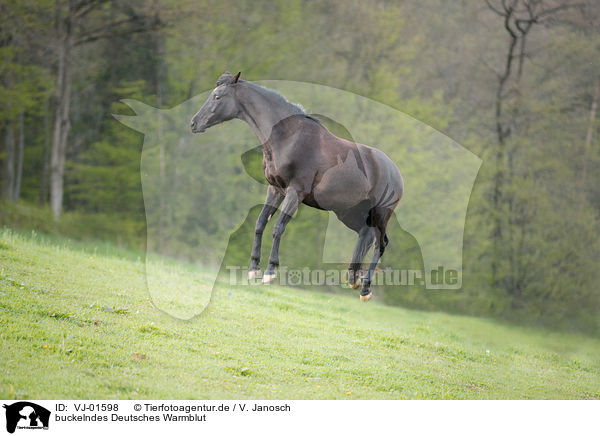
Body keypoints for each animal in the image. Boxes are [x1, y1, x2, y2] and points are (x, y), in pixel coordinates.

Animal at [190, 72, 404, 304]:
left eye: (218, 96)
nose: (194, 123)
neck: (288, 138)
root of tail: (396, 174)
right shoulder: (275, 190)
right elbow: (260, 224)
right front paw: (253, 269)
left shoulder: (295, 193)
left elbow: (277, 228)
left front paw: (270, 271)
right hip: (349, 213)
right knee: (366, 237)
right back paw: (353, 279)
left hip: (380, 214)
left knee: (380, 244)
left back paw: (365, 289)